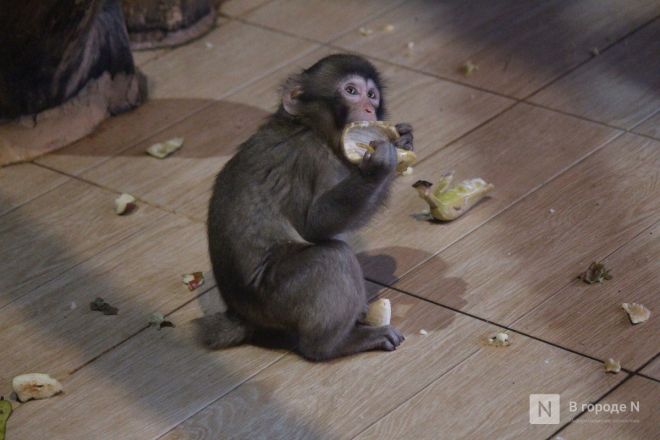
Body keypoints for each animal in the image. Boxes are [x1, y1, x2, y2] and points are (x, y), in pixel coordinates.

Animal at [206, 53, 412, 360]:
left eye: (372, 95)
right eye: (351, 90)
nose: (368, 108)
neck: (307, 126)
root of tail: (241, 314)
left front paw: (405, 140)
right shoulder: (310, 157)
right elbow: (314, 225)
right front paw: (378, 166)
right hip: (277, 297)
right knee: (332, 257)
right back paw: (334, 344)